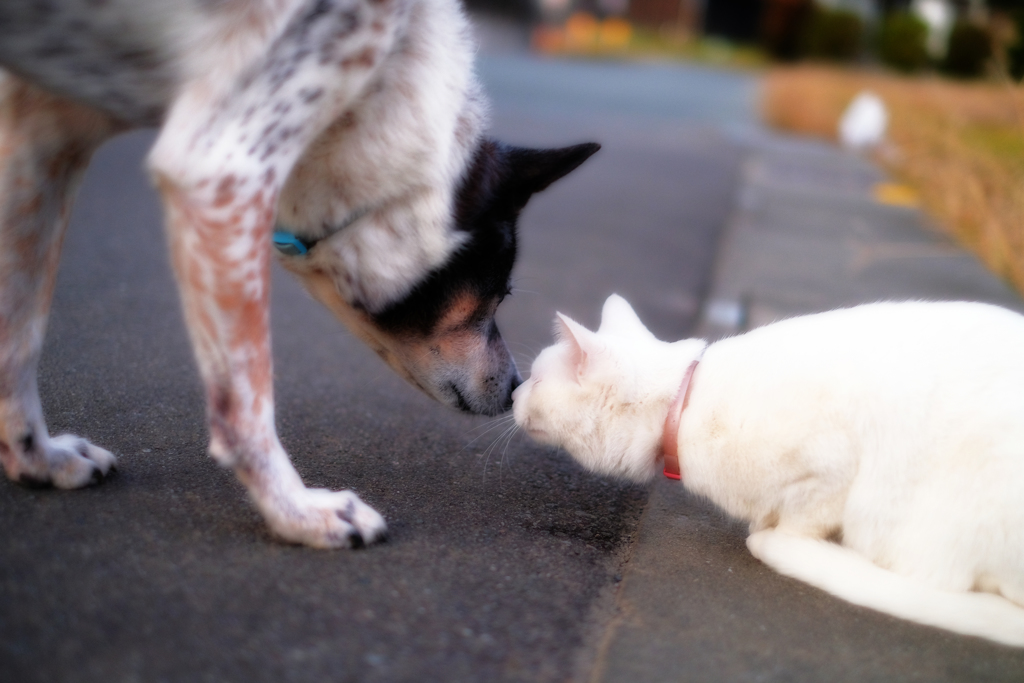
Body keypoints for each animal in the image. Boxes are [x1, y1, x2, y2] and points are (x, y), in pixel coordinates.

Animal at [0, 0, 598, 548]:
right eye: (499, 294)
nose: (516, 386)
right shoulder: (221, 172)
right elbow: (245, 404)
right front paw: (297, 513)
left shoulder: (42, 135)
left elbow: (19, 336)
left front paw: (38, 459)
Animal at [516, 292, 1024, 647]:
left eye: (536, 380)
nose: (513, 391)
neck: (684, 404)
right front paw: (765, 520)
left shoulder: (832, 468)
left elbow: (801, 516)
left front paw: (775, 535)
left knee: (938, 581)